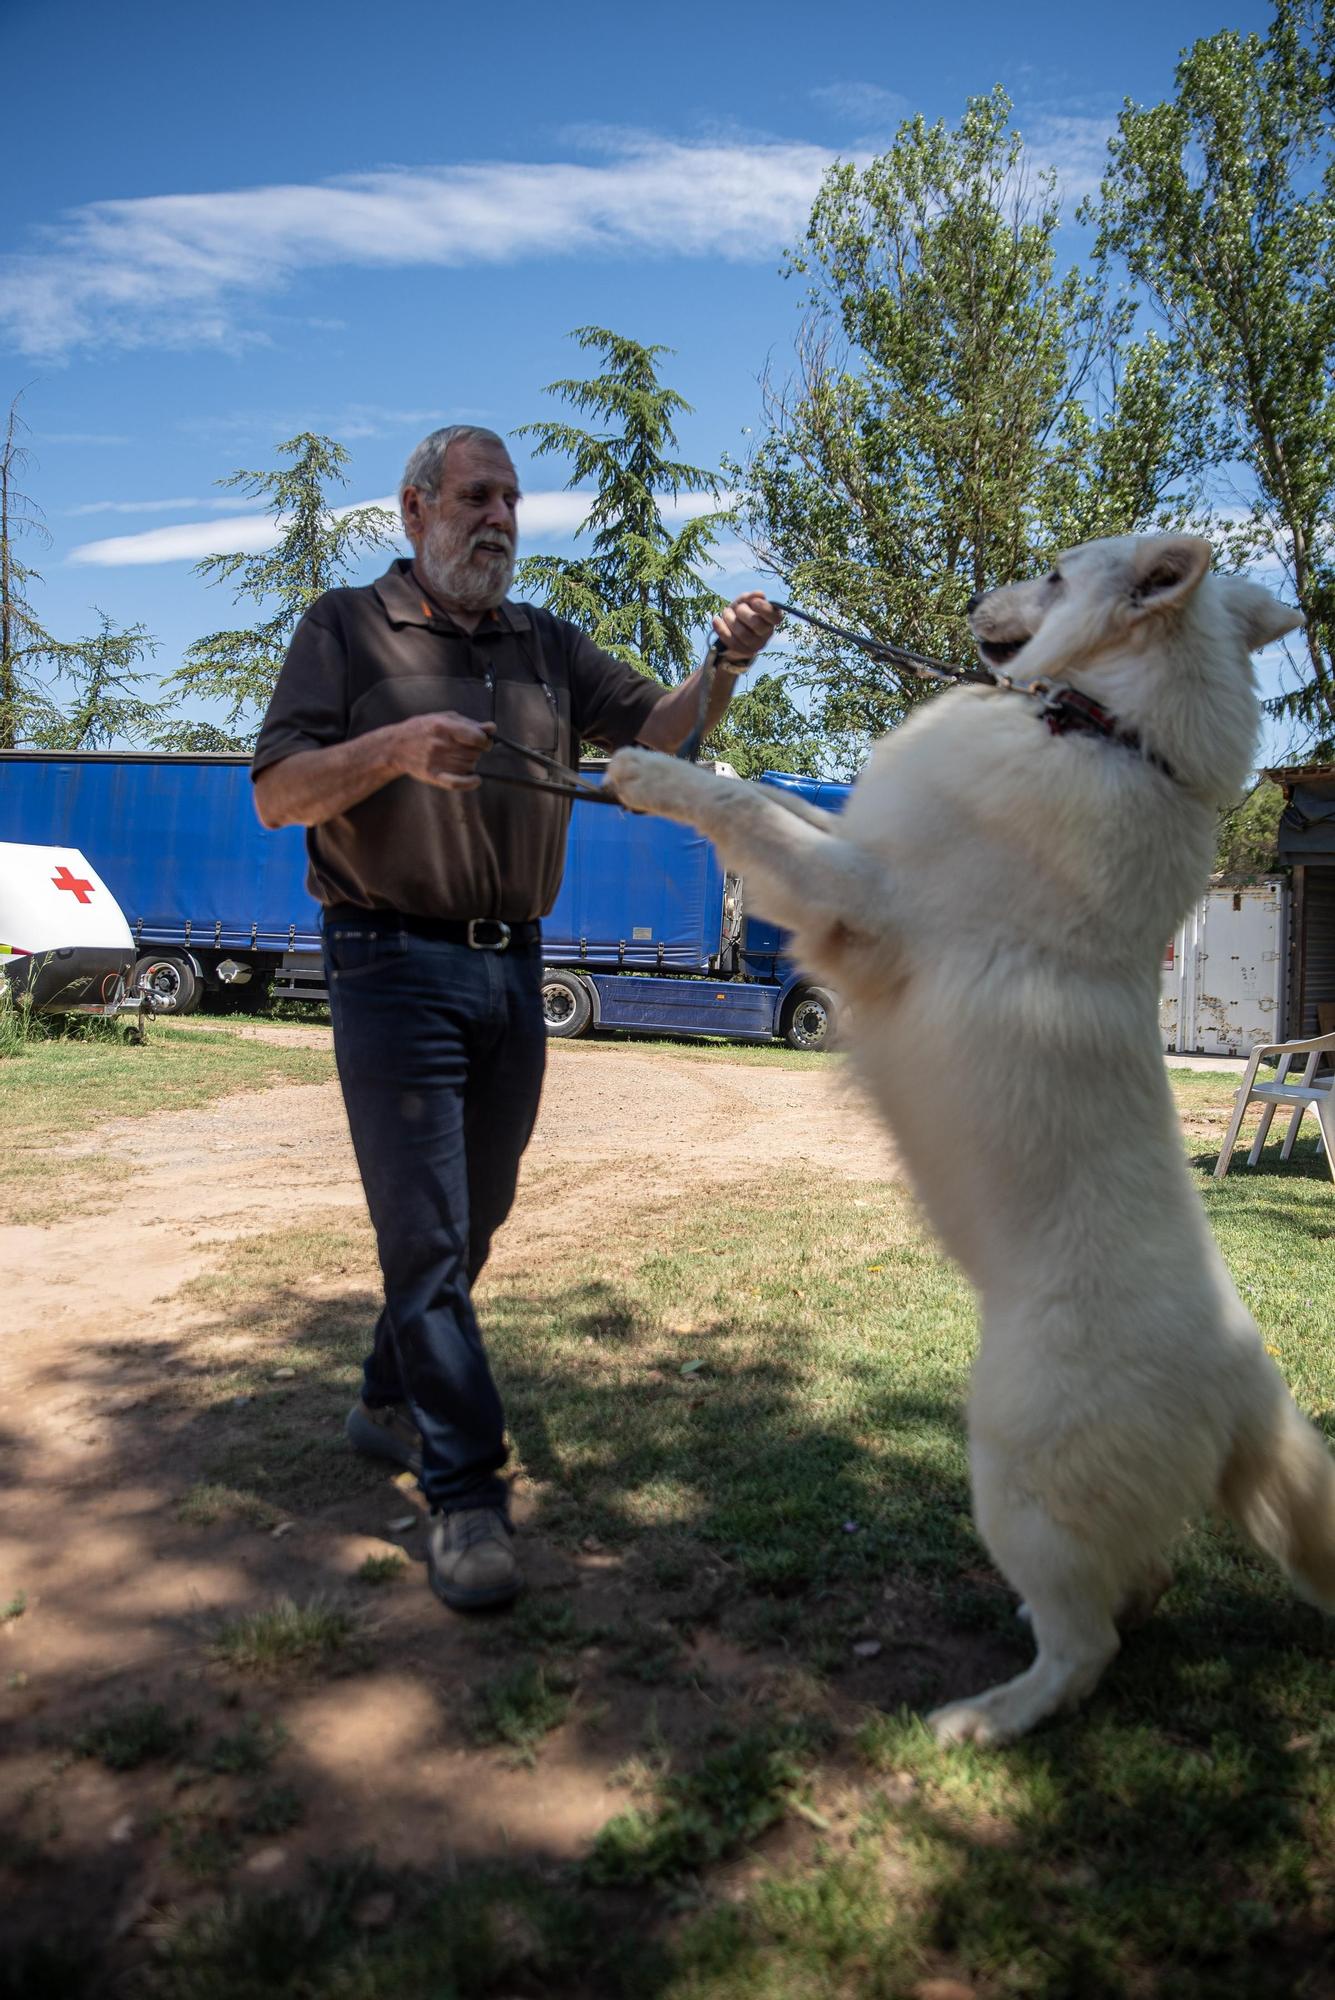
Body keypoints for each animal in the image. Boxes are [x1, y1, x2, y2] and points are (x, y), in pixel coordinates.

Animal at [611, 540, 1335, 1744]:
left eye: (1053, 573)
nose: (966, 605)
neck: (1112, 733)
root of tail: (1244, 1380)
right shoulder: (851, 854)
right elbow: (780, 801)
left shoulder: (857, 895)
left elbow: (743, 809)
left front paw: (641, 773)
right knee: (1133, 1594)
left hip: (1012, 1466)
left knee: (1085, 1651)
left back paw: (982, 1717)